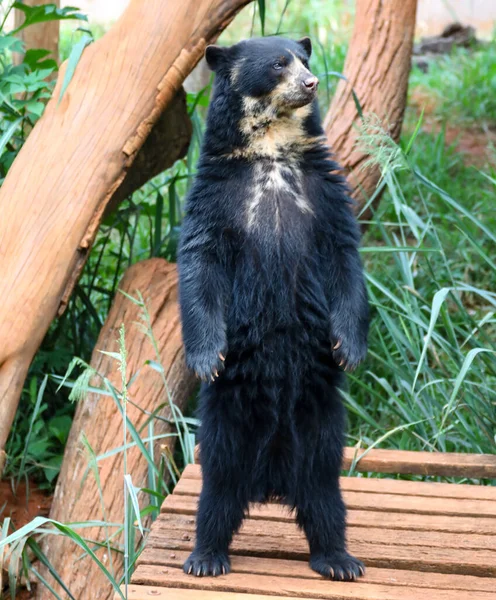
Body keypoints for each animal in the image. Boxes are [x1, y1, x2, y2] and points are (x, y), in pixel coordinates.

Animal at [177, 36, 368, 580]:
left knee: (325, 494)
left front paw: (348, 349)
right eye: (279, 64)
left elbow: (344, 258)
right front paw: (208, 358)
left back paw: (339, 559)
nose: (311, 82)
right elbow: (200, 262)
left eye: (303, 58)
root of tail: (271, 481)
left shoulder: (325, 192)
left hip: (322, 429)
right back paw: (205, 556)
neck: (271, 151)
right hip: (224, 423)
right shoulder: (215, 196)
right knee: (217, 489)